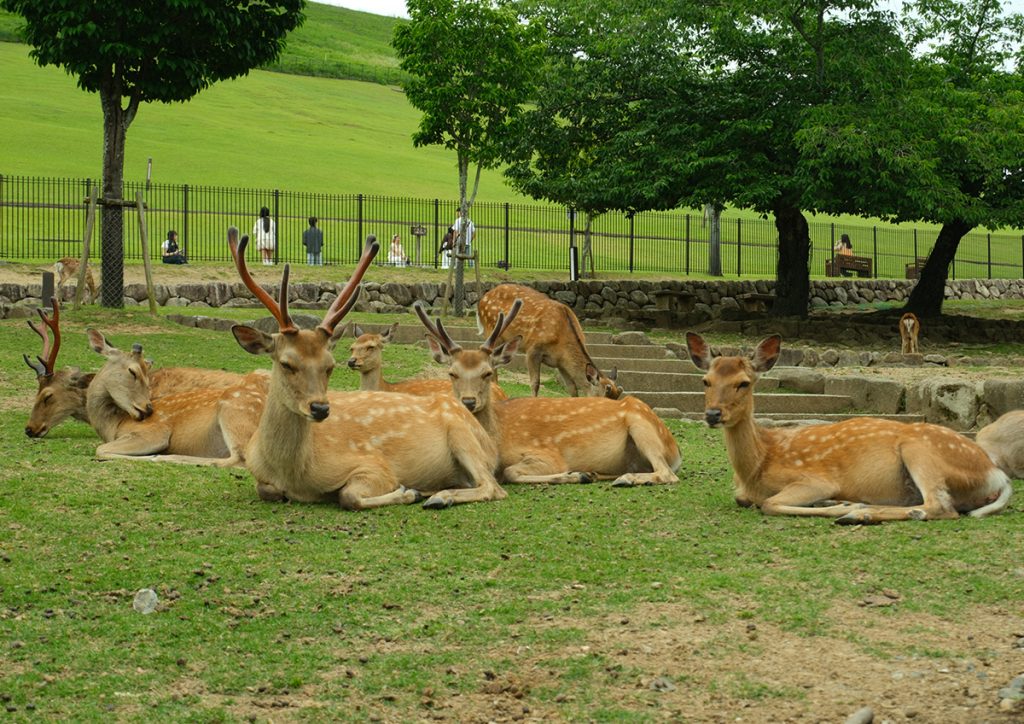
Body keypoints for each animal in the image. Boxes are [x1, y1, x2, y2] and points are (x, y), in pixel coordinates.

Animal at [416, 300, 681, 486]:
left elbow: (511, 471)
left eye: (487, 372)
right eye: (452, 373)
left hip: (642, 425)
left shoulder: (548, 454)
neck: (498, 440)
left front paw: (574, 474)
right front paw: (581, 474)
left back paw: (623, 479)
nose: (469, 401)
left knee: (667, 473)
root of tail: (677, 451)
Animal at [477, 283, 622, 399]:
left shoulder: (561, 363)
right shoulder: (533, 349)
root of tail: (481, 300)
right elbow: (535, 383)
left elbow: (572, 388)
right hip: (491, 331)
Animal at [685, 332, 1012, 524]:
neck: (757, 467)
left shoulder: (814, 479)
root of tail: (996, 476)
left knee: (942, 507)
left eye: (744, 382)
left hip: (921, 451)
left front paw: (837, 506)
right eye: (706, 381)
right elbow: (744, 500)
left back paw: (859, 513)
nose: (712, 414)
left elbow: (770, 504)